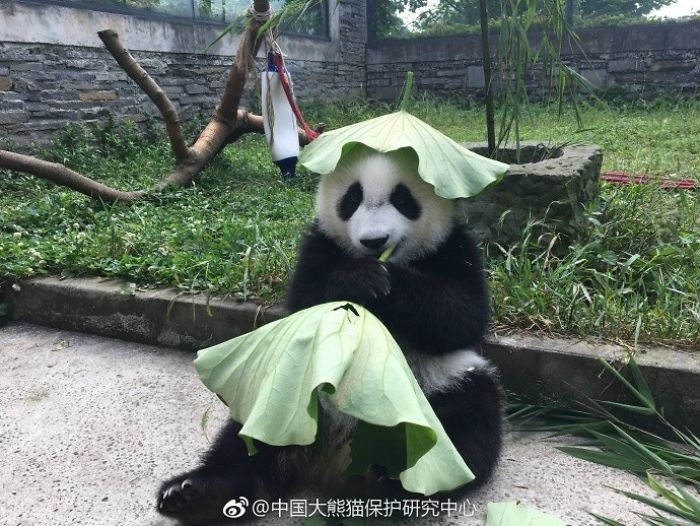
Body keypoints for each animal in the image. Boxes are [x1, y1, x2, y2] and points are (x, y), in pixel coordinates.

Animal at [157, 145, 504, 525]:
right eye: (352, 198)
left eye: (402, 198)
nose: (374, 242)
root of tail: (337, 458)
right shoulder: (319, 244)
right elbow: (303, 303)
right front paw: (359, 279)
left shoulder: (455, 247)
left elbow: (462, 315)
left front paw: (387, 280)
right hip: (290, 393)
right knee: (248, 440)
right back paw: (194, 494)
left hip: (438, 388)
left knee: (464, 424)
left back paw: (390, 484)